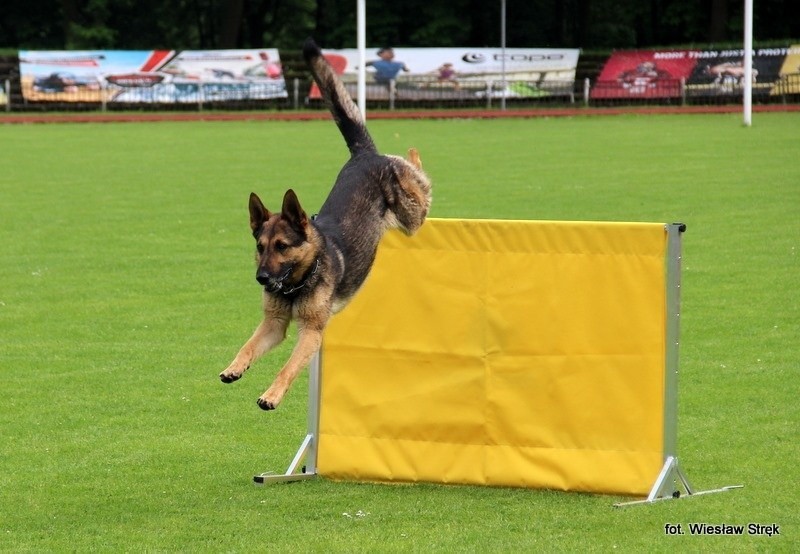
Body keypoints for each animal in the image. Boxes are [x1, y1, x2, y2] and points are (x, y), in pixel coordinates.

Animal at [219, 38, 432, 408]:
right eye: (260, 247)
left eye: (282, 247)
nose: (261, 278)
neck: (298, 283)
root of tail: (365, 155)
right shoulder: (274, 324)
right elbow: (248, 346)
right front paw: (234, 368)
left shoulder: (311, 333)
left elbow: (288, 368)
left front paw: (271, 395)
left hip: (410, 215)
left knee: (419, 178)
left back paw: (412, 156)